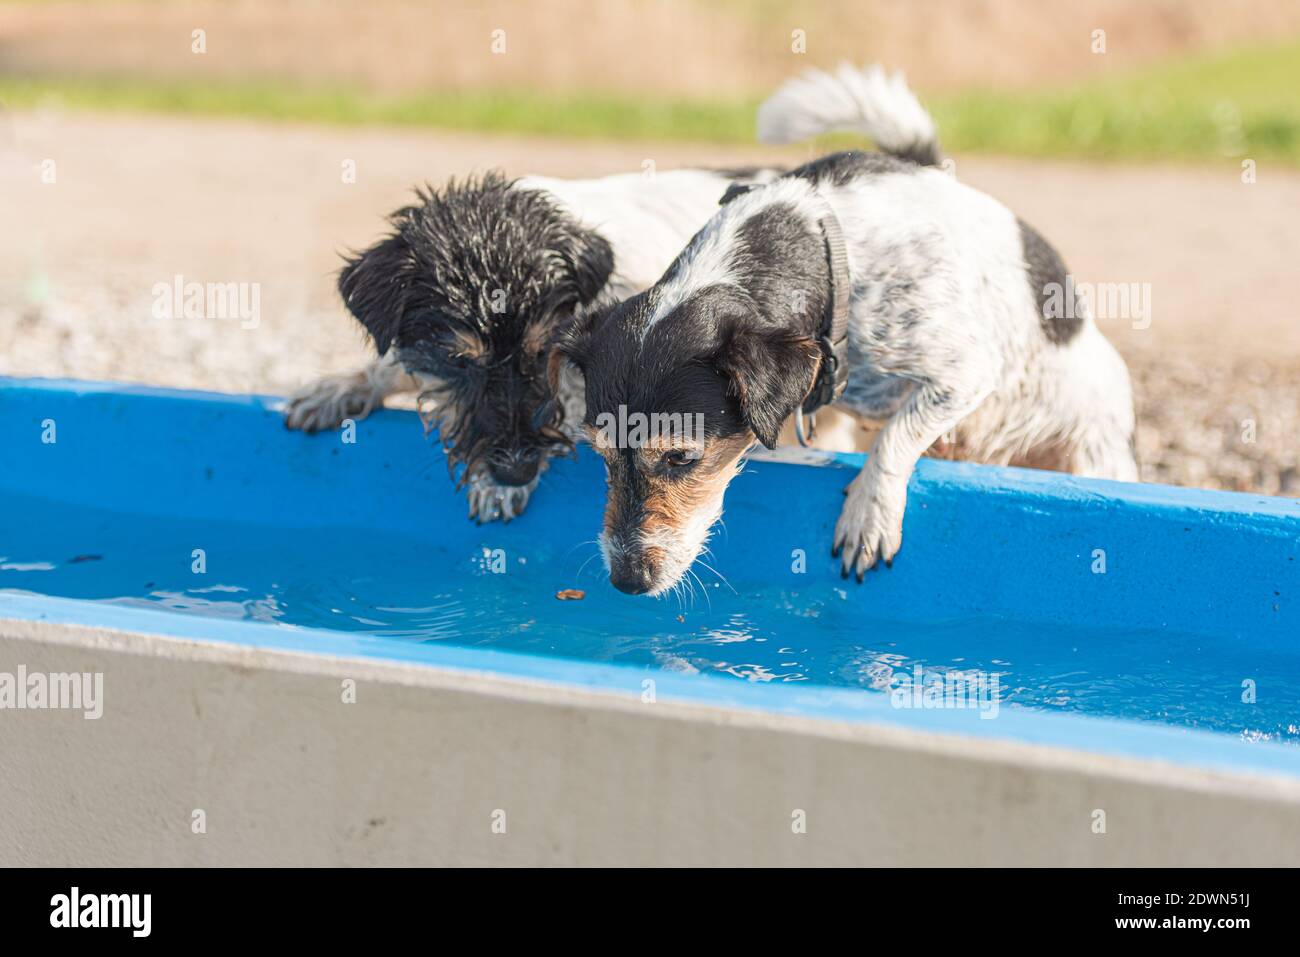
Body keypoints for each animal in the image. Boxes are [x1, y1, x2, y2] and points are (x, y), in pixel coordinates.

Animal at [559, 63, 1138, 595]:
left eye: (681, 457)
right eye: (600, 454)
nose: (627, 582)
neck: (829, 258)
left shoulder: (964, 372)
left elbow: (897, 437)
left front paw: (869, 515)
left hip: (1095, 446)